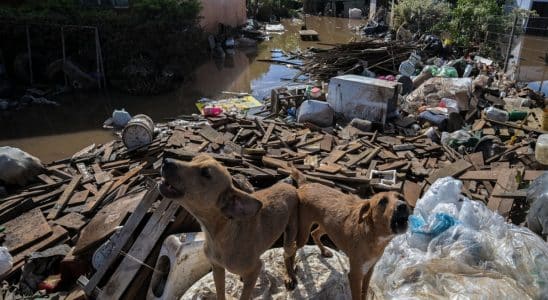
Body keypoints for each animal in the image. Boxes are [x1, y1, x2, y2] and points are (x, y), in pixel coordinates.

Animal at [161, 156, 298, 298]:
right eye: (193, 159)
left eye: (205, 173)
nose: (166, 160)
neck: (219, 234)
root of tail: (289, 185)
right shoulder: (217, 268)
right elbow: (220, 292)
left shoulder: (254, 270)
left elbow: (245, 295)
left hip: (290, 235)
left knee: (290, 251)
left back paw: (290, 275)